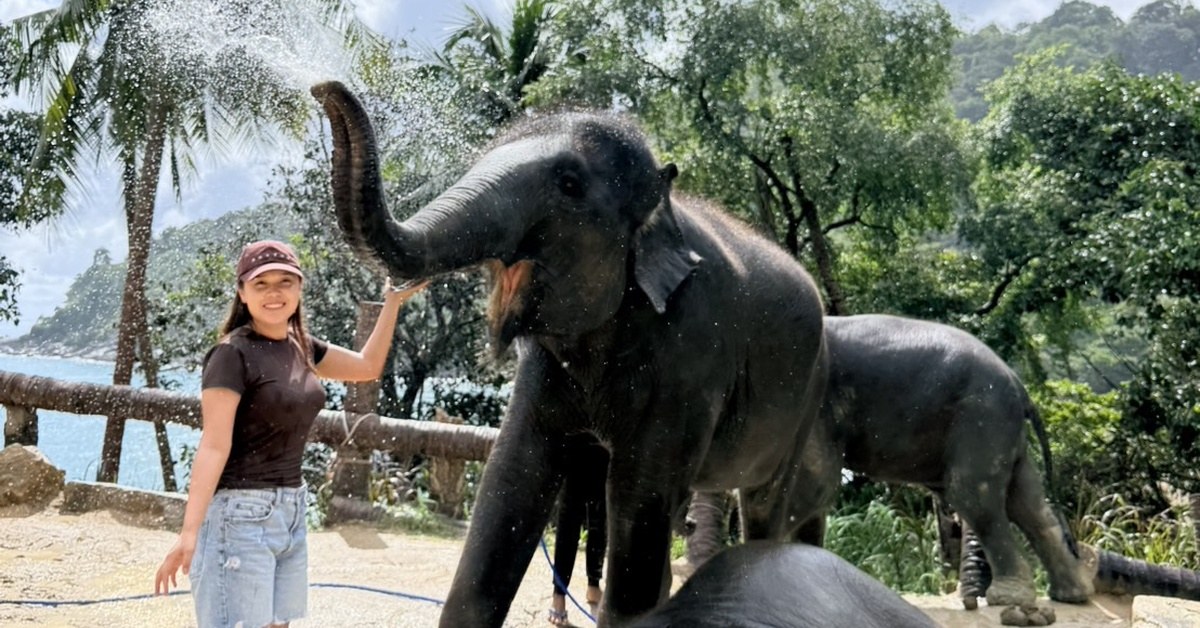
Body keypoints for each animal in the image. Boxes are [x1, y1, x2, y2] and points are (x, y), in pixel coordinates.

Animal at [311, 81, 829, 626]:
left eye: (569, 184)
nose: (324, 88)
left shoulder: (689, 361)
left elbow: (639, 511)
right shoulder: (542, 371)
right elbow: (508, 484)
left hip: (809, 394)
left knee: (764, 506)